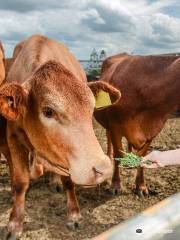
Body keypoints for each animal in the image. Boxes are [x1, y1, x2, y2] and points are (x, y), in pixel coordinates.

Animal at [0, 34, 121, 239]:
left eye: (91, 108)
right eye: (48, 111)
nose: (103, 169)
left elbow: (68, 181)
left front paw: (74, 215)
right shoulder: (13, 137)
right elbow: (20, 182)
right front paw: (14, 224)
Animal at [95, 54, 179, 197]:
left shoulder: (151, 133)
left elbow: (142, 157)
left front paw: (141, 186)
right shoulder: (115, 127)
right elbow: (118, 155)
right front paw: (115, 185)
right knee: (108, 138)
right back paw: (110, 157)